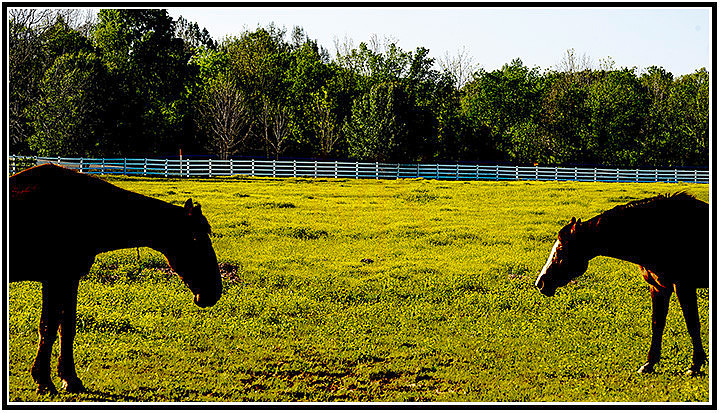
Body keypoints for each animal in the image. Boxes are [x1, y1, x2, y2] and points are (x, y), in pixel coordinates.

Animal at [10, 164, 223, 394]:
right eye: (196, 240)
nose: (213, 292)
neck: (80, 210)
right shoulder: (57, 278)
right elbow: (48, 328)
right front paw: (44, 381)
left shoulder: (68, 279)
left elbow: (66, 327)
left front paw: (69, 378)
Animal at [534, 192, 709, 376]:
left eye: (560, 249)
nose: (541, 282)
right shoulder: (658, 287)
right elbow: (657, 324)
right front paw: (649, 363)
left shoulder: (684, 286)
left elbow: (692, 324)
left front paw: (695, 365)